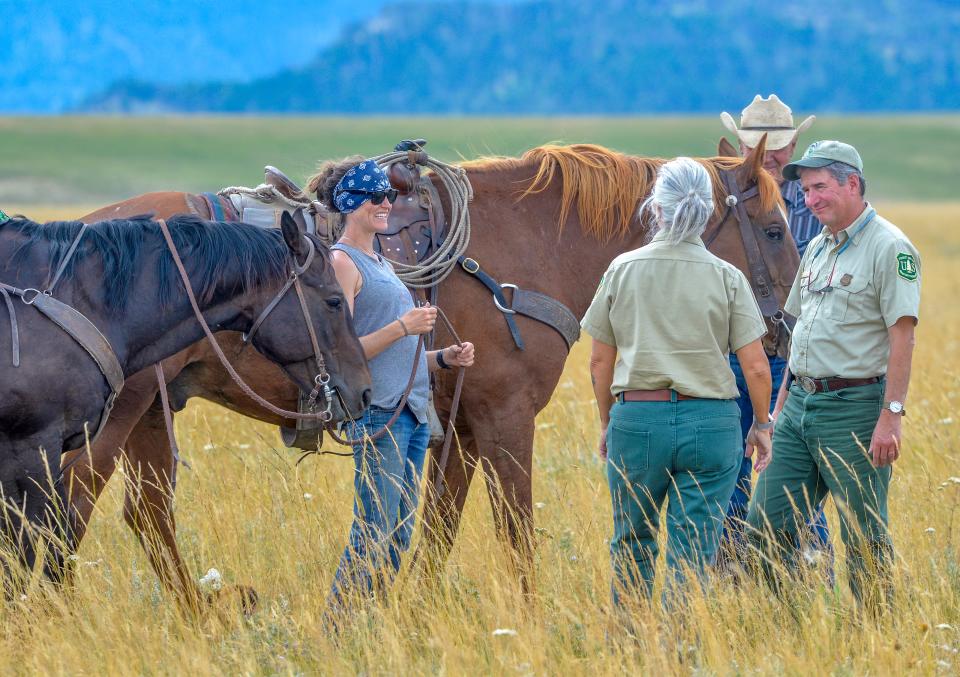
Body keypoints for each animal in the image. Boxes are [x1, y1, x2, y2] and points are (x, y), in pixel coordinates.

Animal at [62, 136, 796, 604]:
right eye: (773, 228)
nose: (784, 325)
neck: (528, 245)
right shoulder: (504, 419)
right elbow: (515, 531)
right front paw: (528, 616)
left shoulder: (455, 428)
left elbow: (436, 532)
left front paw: (414, 610)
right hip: (116, 416)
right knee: (70, 506)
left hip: (154, 409)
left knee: (147, 515)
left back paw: (201, 612)